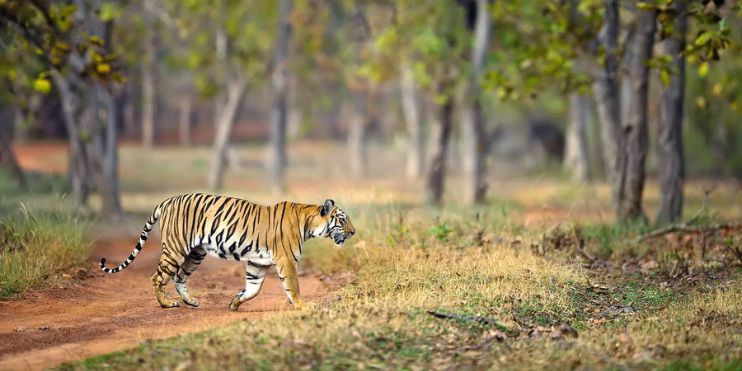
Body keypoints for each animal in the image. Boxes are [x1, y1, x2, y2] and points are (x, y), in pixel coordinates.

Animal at [100, 193, 356, 312]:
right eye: (343, 220)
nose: (354, 232)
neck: (308, 223)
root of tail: (167, 200)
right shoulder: (286, 261)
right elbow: (293, 286)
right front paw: (303, 306)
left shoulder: (257, 263)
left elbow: (253, 288)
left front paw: (235, 303)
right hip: (176, 248)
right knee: (158, 276)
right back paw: (167, 304)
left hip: (195, 253)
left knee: (179, 277)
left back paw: (191, 301)